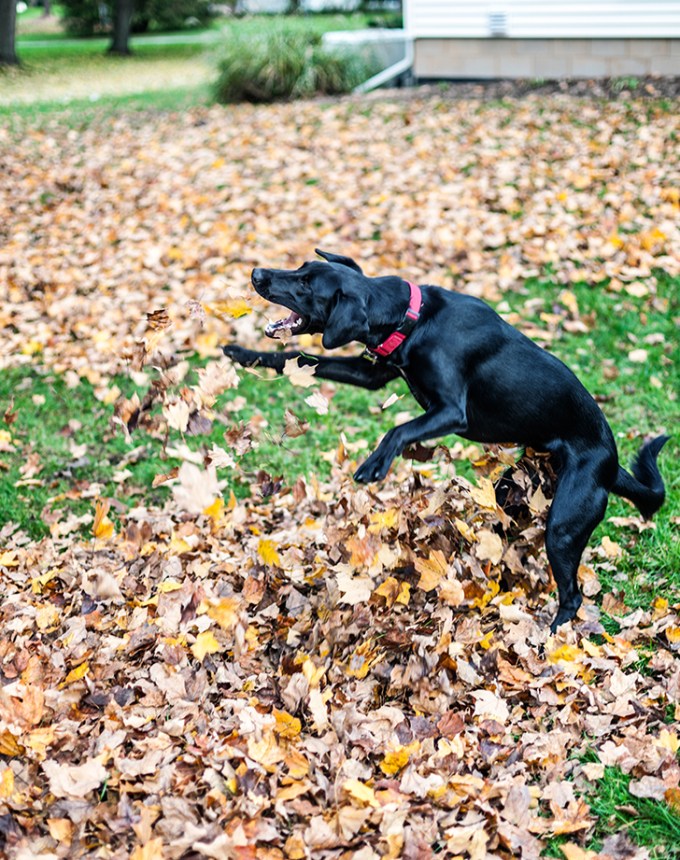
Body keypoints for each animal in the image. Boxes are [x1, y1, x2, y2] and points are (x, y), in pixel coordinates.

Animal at [223, 250, 668, 632]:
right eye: (300, 268)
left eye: (305, 283)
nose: (256, 274)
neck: (413, 319)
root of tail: (611, 461)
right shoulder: (372, 373)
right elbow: (296, 358)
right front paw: (242, 353)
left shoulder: (452, 410)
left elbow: (398, 429)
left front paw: (374, 465)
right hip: (511, 492)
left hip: (562, 525)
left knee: (572, 594)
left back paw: (551, 637)